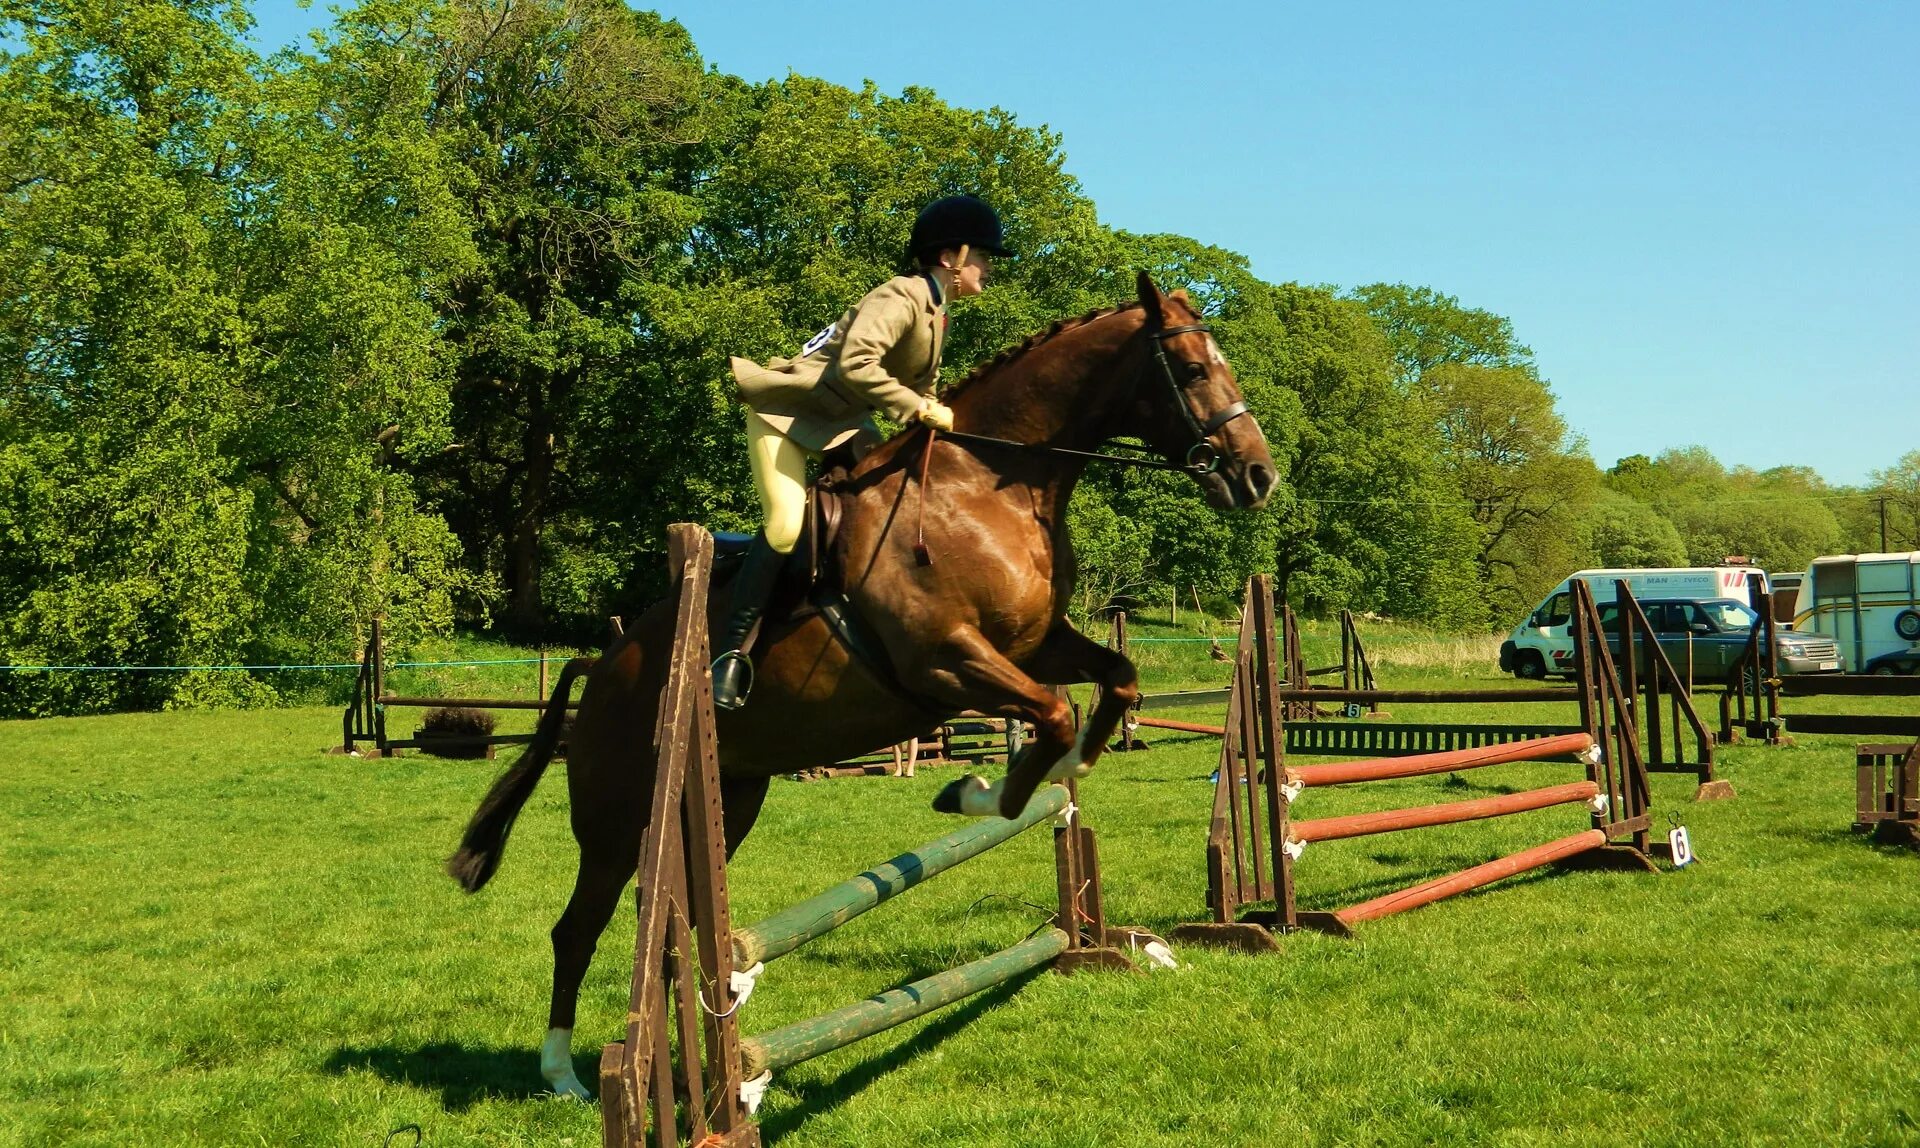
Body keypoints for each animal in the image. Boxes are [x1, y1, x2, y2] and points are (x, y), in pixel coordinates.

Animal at [439, 266, 1274, 1098]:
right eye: (1192, 370)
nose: (1258, 475)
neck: (984, 489)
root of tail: (604, 665)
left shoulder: (1035, 645)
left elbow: (1115, 684)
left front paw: (1057, 779)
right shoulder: (945, 660)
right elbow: (1051, 719)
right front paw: (974, 792)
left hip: (728, 797)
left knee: (678, 929)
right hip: (617, 820)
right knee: (578, 927)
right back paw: (566, 1075)